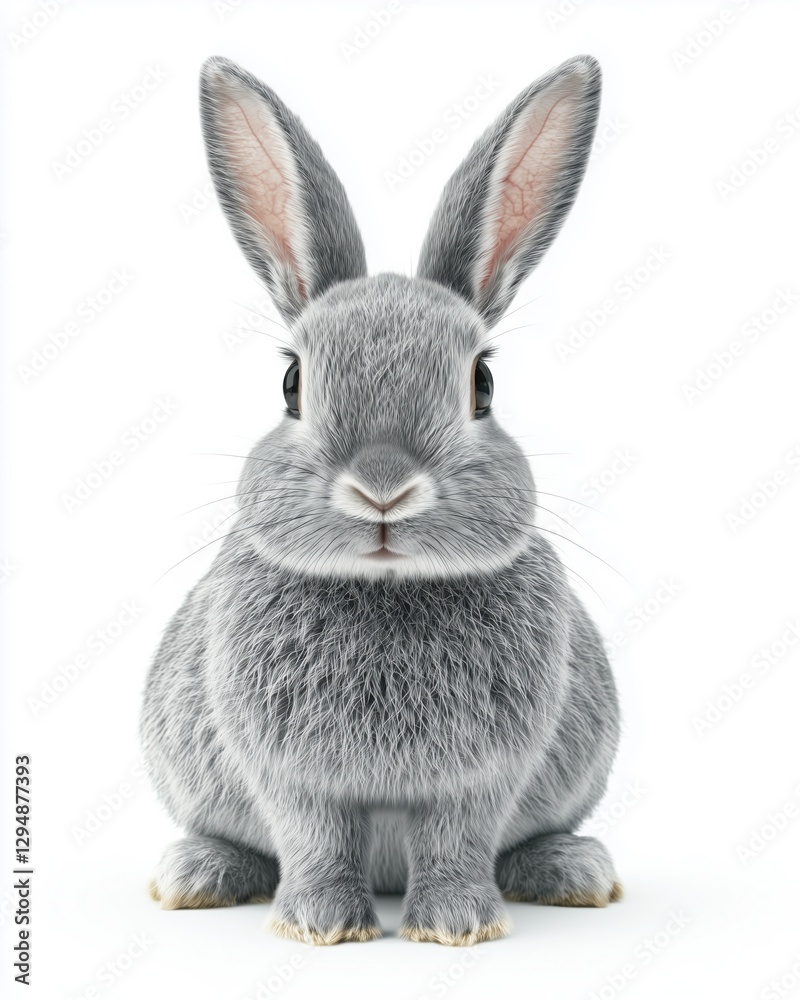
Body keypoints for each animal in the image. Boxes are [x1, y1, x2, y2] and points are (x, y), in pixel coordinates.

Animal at [141, 53, 622, 947]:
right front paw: (323, 925)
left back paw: (572, 871)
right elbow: (315, 837)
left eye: (483, 384)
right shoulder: (290, 775)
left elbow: (459, 839)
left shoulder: (480, 777)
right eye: (291, 384)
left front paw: (458, 925)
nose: (383, 489)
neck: (387, 587)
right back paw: (197, 874)